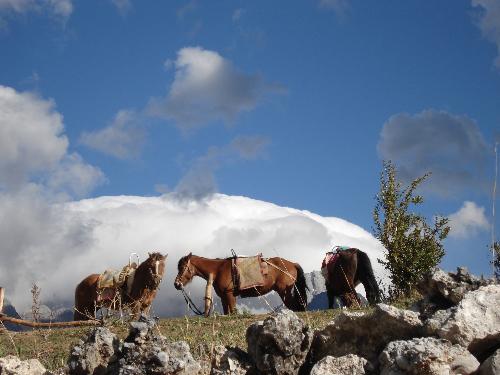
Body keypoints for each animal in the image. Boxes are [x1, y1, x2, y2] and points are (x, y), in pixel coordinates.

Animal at [174, 253, 306, 318]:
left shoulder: (230, 295)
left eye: (183, 267)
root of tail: (292, 264)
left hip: (284, 292)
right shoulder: (224, 297)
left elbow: (233, 312)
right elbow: (227, 312)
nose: (176, 284)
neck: (218, 270)